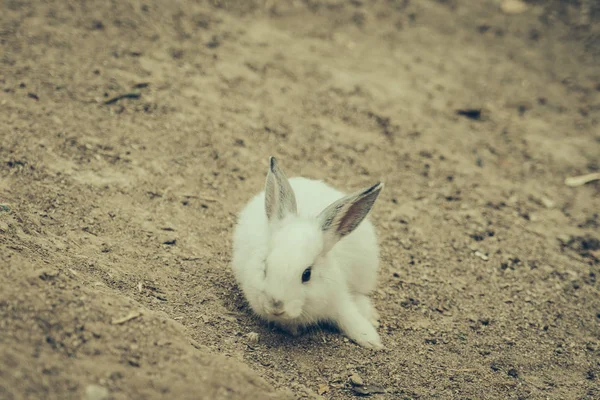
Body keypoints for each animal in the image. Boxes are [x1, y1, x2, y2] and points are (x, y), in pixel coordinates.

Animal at [230, 158, 384, 348]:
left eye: (307, 274)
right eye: (265, 267)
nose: (276, 305)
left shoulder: (338, 299)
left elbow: (349, 316)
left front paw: (371, 340)